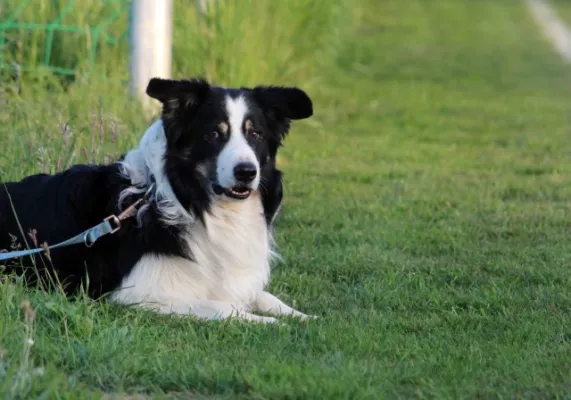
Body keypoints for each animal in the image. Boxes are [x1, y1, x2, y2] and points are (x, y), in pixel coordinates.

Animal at [0, 76, 316, 324]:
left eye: (255, 134)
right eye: (214, 134)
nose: (247, 172)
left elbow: (266, 297)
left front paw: (306, 317)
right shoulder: (138, 294)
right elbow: (223, 307)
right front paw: (270, 323)